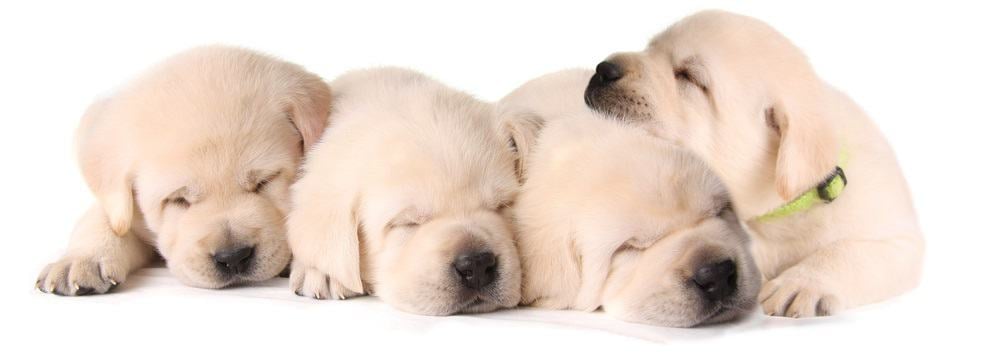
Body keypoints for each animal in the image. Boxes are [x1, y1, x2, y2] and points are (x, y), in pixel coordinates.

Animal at [36, 46, 330, 296]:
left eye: (265, 182)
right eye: (178, 200)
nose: (233, 257)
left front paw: (319, 265)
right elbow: (105, 219)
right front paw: (80, 259)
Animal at [584, 9, 924, 316]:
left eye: (690, 77)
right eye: (651, 47)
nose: (603, 69)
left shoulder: (901, 242)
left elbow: (851, 251)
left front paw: (801, 282)